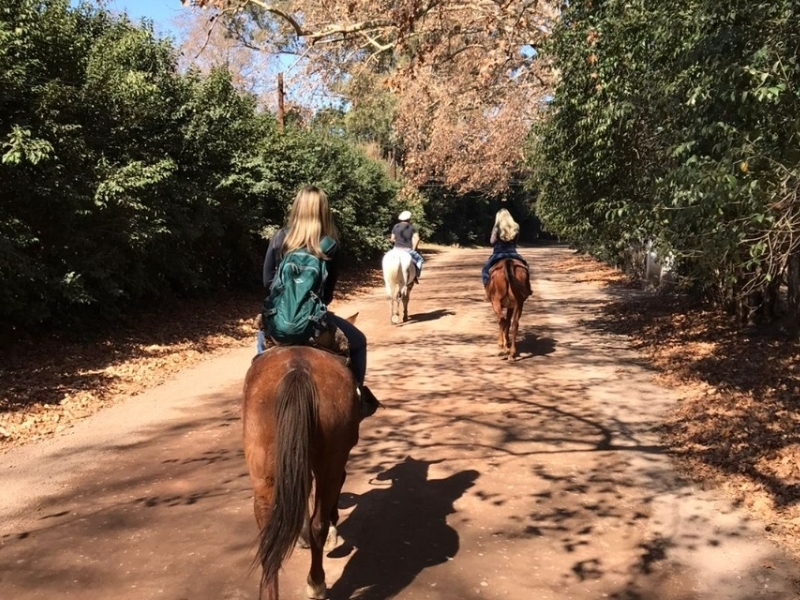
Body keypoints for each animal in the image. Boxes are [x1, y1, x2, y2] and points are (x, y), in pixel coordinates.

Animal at [241, 342, 360, 600]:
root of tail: (299, 370)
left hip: (263, 472)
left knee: (268, 535)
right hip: (331, 461)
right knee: (319, 523)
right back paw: (317, 583)